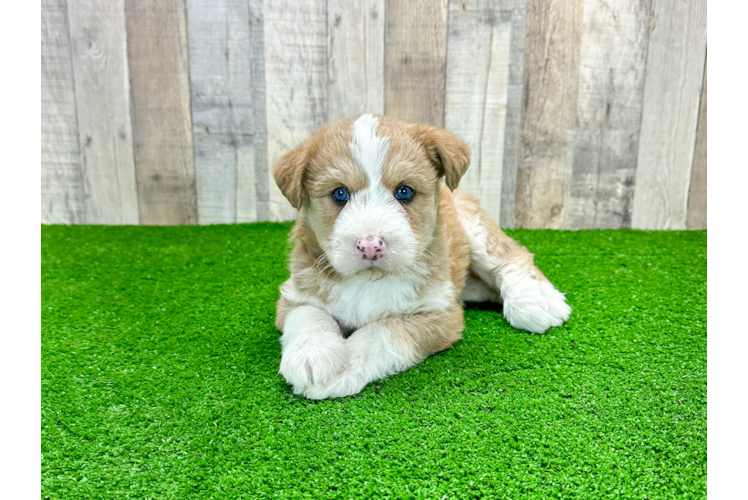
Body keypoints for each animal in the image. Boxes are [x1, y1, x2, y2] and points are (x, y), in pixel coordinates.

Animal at [272, 113, 568, 398]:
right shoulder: (293, 295)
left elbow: (382, 332)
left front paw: (345, 368)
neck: (369, 281)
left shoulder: (440, 315)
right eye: (340, 193)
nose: (370, 245)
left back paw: (535, 300)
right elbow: (308, 315)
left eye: (404, 191)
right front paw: (313, 354)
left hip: (475, 229)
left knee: (512, 255)